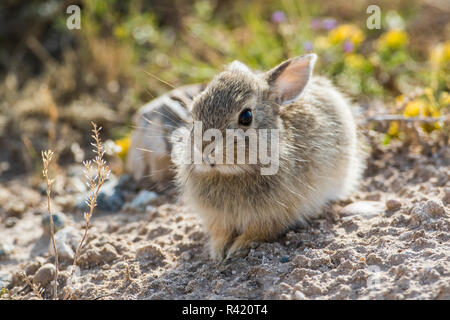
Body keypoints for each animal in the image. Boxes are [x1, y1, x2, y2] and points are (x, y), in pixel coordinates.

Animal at [170, 54, 366, 260]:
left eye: (246, 117)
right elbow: (220, 232)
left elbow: (258, 231)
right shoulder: (218, 218)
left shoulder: (273, 215)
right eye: (194, 113)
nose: (203, 149)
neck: (232, 173)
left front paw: (237, 248)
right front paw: (217, 251)